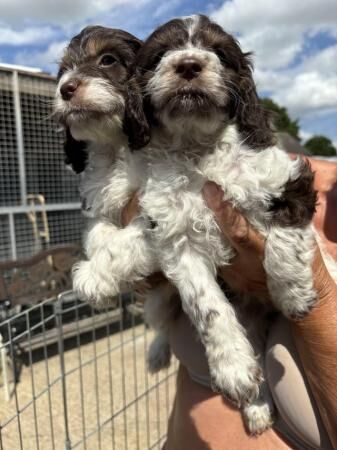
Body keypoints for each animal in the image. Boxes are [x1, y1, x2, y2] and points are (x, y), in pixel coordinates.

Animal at [53, 25, 153, 306]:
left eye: (108, 60)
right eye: (65, 70)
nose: (65, 88)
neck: (116, 147)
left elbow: (125, 240)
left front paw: (92, 277)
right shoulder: (97, 201)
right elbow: (98, 231)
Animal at [122, 15, 322, 434]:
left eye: (218, 52)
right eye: (161, 55)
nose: (189, 65)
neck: (198, 148)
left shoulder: (289, 181)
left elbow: (284, 242)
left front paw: (294, 295)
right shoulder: (176, 241)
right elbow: (207, 306)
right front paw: (233, 369)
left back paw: (259, 406)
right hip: (162, 297)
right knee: (164, 321)